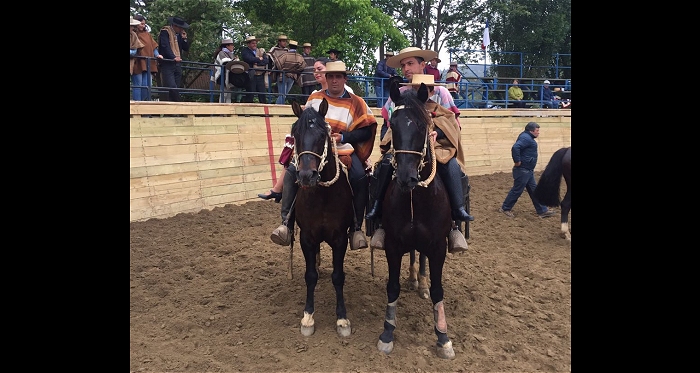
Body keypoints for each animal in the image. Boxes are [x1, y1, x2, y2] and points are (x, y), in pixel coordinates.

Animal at [292, 99, 356, 338]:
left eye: (322, 135)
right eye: (295, 133)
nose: (306, 176)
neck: (322, 196)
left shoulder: (340, 239)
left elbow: (338, 276)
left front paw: (342, 319)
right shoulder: (307, 238)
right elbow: (310, 275)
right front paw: (308, 317)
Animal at [374, 82, 456, 358]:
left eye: (423, 126)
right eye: (393, 125)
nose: (406, 177)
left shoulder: (438, 247)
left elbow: (438, 290)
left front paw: (443, 337)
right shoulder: (393, 245)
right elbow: (392, 286)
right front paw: (387, 333)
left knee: (421, 258)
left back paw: (420, 283)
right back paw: (413, 279)